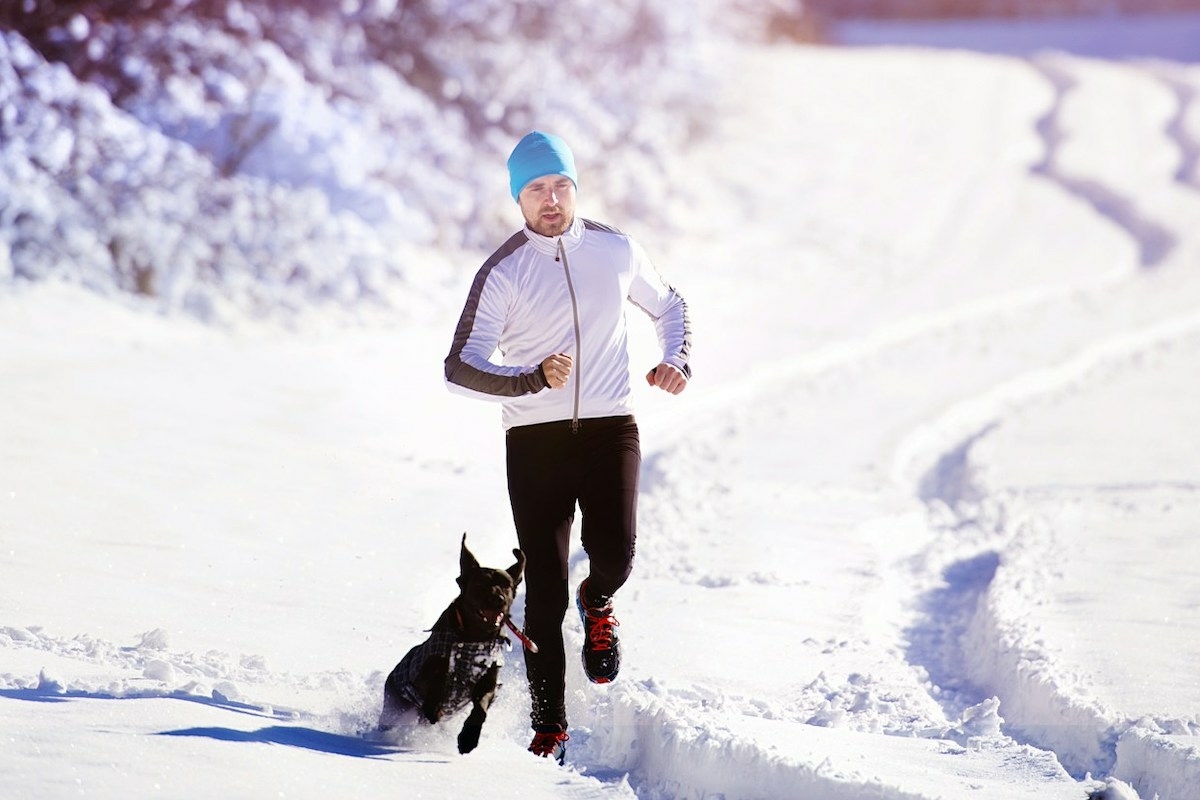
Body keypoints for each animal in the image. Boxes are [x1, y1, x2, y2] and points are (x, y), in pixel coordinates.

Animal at [376, 534, 523, 753]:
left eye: (507, 585)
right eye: (481, 583)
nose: (498, 599)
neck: (474, 639)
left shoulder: (489, 681)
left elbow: (481, 707)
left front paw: (469, 738)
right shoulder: (426, 674)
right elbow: (436, 683)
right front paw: (437, 707)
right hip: (395, 701)